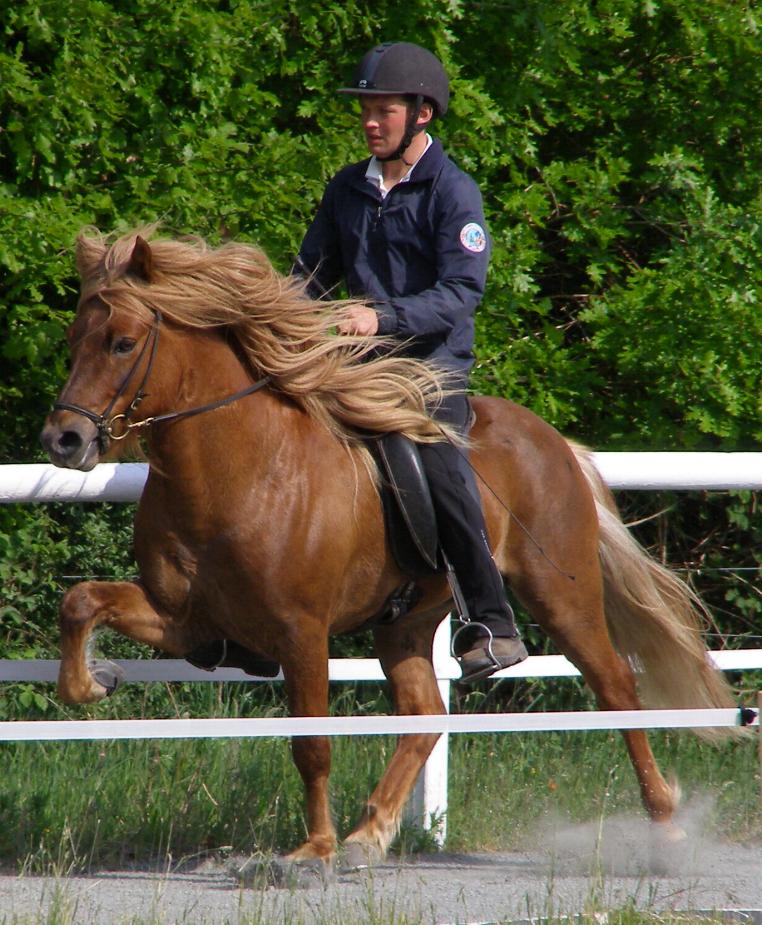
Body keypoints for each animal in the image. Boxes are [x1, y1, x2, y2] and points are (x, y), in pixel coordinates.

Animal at [38, 226, 732, 872]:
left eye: (123, 342)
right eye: (74, 339)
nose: (63, 440)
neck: (238, 470)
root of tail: (556, 443)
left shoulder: (301, 632)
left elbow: (311, 744)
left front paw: (312, 850)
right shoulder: (189, 621)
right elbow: (81, 603)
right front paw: (95, 681)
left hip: (561, 595)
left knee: (617, 688)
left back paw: (665, 828)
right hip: (407, 621)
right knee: (424, 712)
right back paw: (368, 835)